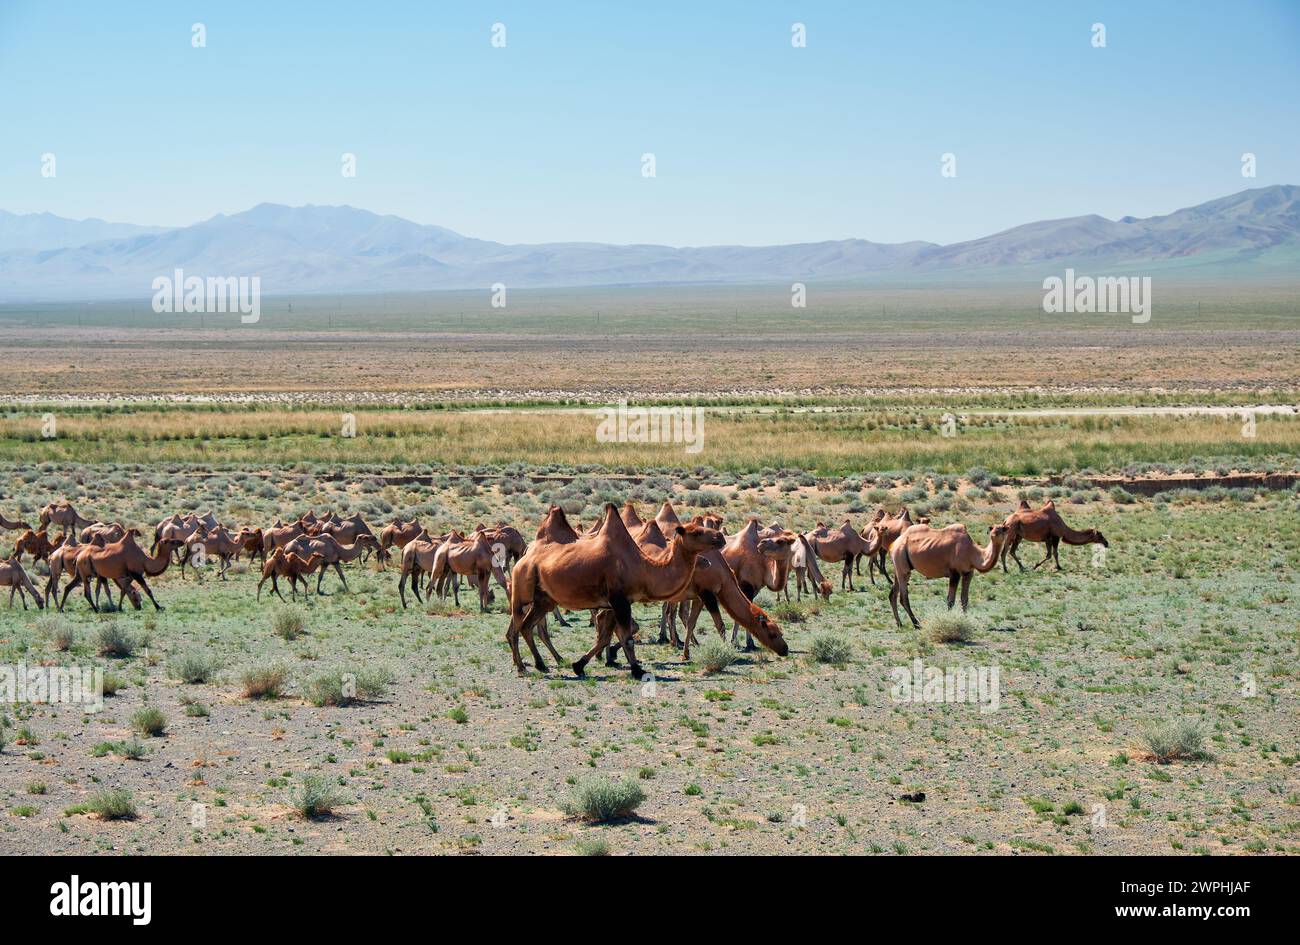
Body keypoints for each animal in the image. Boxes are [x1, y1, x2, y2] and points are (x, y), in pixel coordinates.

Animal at [506, 501, 728, 681]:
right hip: (521, 591)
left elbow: (607, 636)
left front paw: (580, 665)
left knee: (527, 627)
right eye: (696, 532)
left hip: (544, 600)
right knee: (516, 629)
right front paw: (637, 671)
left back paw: (541, 664)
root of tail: (526, 555)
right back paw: (521, 667)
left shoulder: (617, 603)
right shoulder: (619, 600)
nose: (720, 537)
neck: (644, 567)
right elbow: (627, 638)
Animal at [883, 525, 1013, 629]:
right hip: (902, 563)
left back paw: (899, 623)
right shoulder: (954, 572)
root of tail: (893, 544)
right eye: (994, 529)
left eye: (1002, 529)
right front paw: (949, 620)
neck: (972, 552)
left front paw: (965, 619)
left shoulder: (968, 573)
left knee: (892, 594)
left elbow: (964, 598)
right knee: (903, 597)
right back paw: (916, 624)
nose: (994, 534)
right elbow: (950, 600)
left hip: (898, 567)